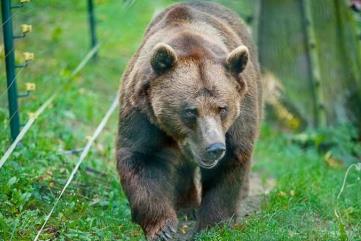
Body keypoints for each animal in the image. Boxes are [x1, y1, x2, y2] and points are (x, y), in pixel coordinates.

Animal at [116, 1, 260, 239]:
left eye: (222, 108)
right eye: (191, 111)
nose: (214, 147)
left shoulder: (239, 115)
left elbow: (231, 159)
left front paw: (213, 225)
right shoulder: (142, 111)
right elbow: (142, 157)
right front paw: (163, 228)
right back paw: (187, 207)